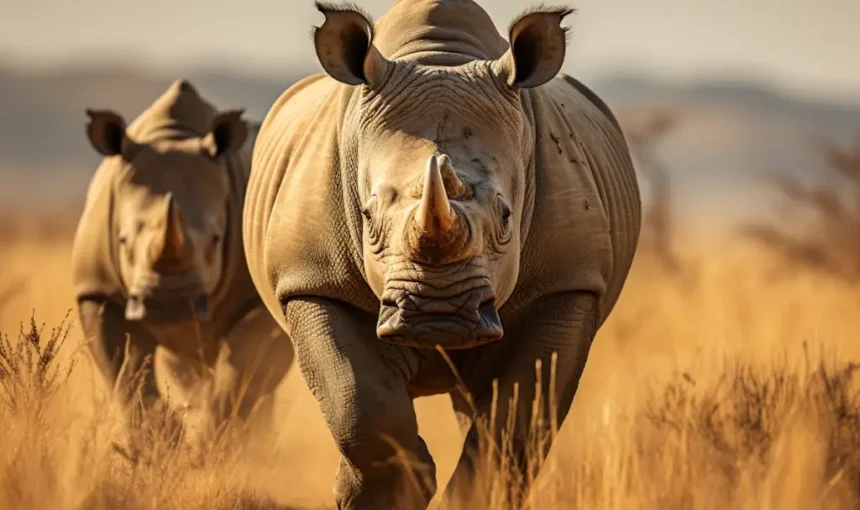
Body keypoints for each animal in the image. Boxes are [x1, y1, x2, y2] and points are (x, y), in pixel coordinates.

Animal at [71, 80, 293, 444]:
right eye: (123, 240)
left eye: (216, 239)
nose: (170, 305)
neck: (171, 137)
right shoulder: (97, 290)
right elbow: (125, 370)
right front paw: (160, 443)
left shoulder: (260, 298)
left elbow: (244, 366)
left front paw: (212, 442)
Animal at [244, 1, 641, 508]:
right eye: (368, 216)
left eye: (507, 217)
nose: (438, 317)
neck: (439, 58)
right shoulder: (311, 279)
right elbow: (355, 398)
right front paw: (381, 492)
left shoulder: (567, 281)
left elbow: (518, 417)